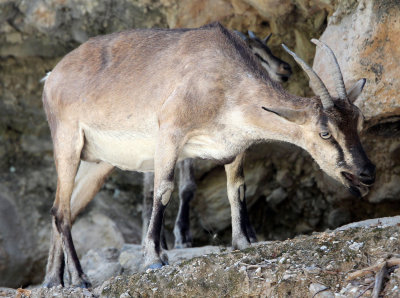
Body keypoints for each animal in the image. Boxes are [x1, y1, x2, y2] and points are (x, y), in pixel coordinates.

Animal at [142, 30, 292, 249]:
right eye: (254, 53)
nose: (286, 67)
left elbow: (240, 186)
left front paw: (250, 234)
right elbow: (187, 187)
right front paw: (183, 236)